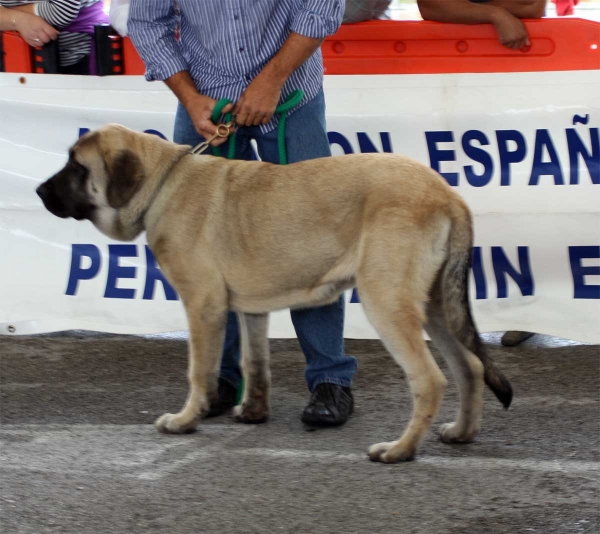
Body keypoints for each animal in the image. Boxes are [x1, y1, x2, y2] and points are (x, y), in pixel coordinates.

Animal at [36, 124, 510, 464]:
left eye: (77, 167)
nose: (39, 191)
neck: (162, 185)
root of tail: (448, 195)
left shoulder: (203, 305)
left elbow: (199, 370)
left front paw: (187, 420)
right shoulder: (249, 310)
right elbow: (255, 363)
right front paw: (252, 412)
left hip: (388, 302)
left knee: (429, 380)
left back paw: (400, 450)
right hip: (433, 305)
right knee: (469, 366)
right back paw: (462, 432)